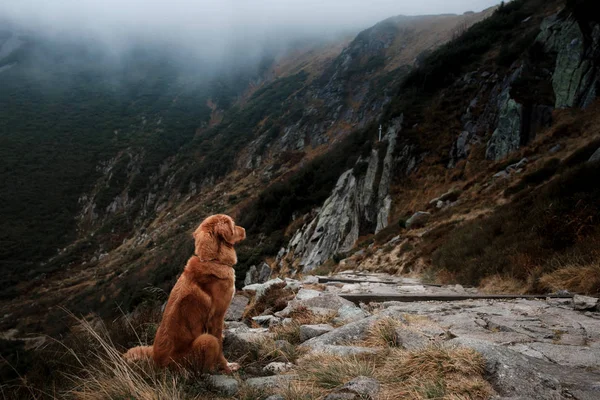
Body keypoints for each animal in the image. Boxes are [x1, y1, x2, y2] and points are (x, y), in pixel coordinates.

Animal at [124, 214, 246, 374]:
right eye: (233, 225)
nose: (244, 229)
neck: (213, 260)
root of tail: (157, 363)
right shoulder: (216, 317)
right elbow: (220, 346)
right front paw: (227, 366)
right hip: (206, 341)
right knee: (206, 365)